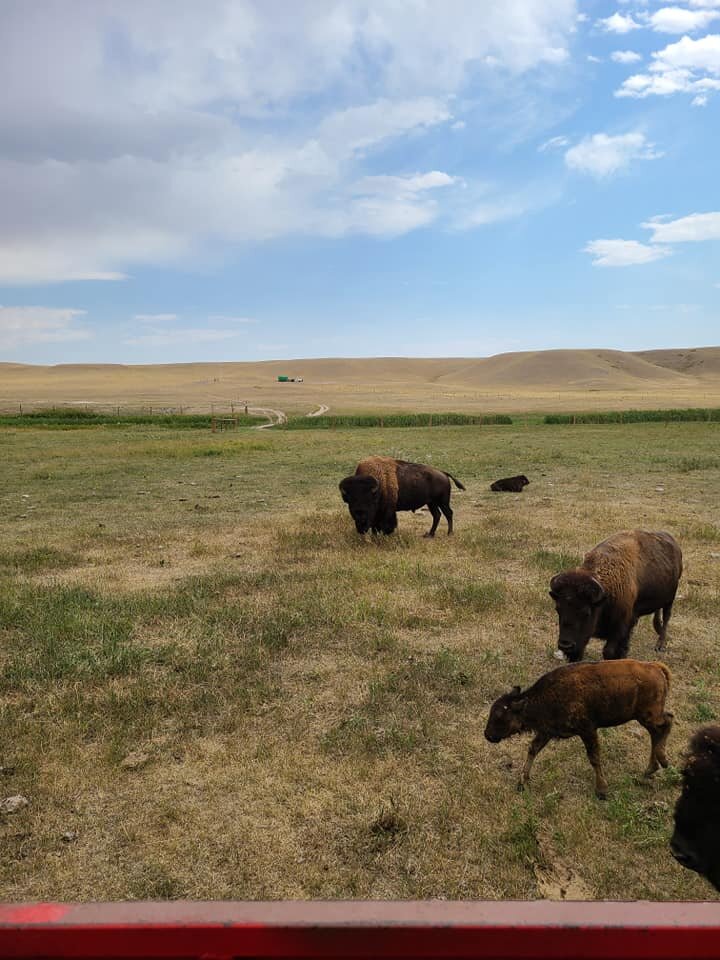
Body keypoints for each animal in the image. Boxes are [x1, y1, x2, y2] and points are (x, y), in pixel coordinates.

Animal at [486, 656, 672, 800]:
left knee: (666, 723)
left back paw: (662, 761)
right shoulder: (546, 731)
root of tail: (655, 667)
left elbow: (594, 757)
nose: (487, 734)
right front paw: (522, 782)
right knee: (658, 731)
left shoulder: (587, 730)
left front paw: (601, 790)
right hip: (645, 718)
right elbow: (533, 749)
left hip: (648, 716)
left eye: (499, 715)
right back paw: (650, 769)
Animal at [548, 528, 684, 664]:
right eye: (558, 609)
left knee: (666, 617)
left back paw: (660, 644)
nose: (565, 645)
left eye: (586, 612)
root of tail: (674, 544)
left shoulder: (621, 626)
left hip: (670, 599)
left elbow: (610, 650)